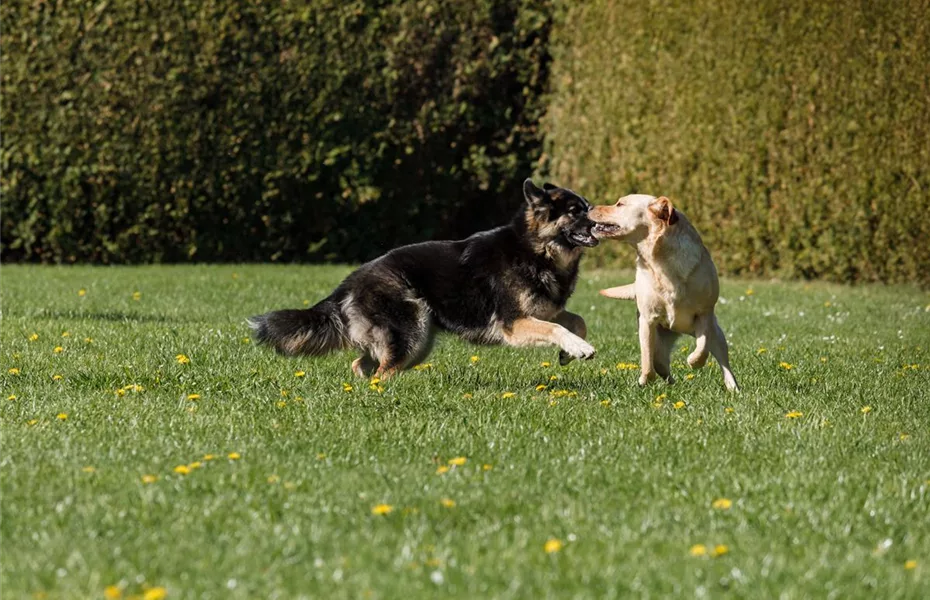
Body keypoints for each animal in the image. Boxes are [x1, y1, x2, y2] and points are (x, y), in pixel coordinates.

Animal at [248, 176, 596, 378]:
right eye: (575, 212)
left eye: (588, 207)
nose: (599, 222)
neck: (535, 249)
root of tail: (349, 281)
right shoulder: (514, 323)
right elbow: (556, 328)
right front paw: (579, 348)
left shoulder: (544, 310)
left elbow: (576, 320)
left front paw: (568, 352)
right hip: (412, 334)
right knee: (383, 372)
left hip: (418, 340)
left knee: (363, 365)